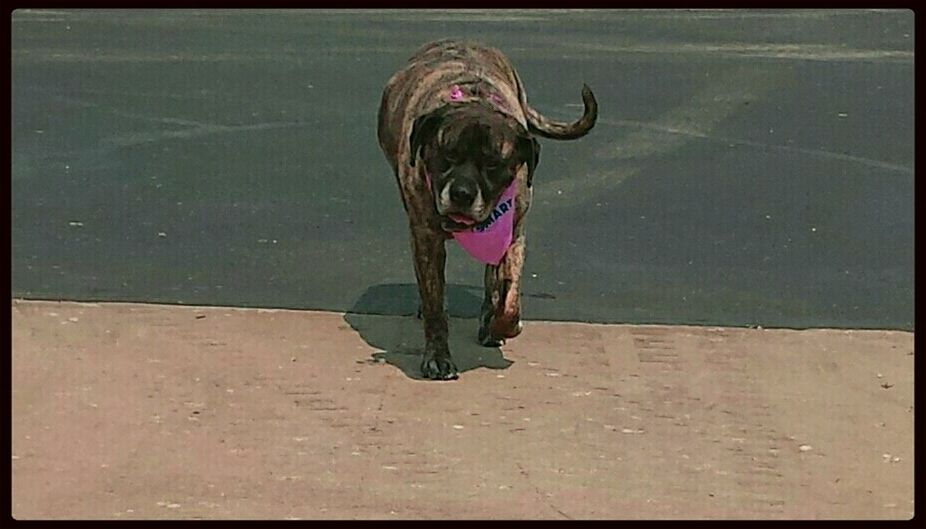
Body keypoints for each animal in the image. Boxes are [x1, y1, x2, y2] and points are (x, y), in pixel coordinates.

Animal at [378, 40, 600, 380]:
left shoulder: (513, 233)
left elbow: (508, 297)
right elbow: (435, 304)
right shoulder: (425, 236)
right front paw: (438, 356)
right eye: (446, 157)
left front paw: (502, 322)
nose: (462, 193)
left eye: (493, 166)